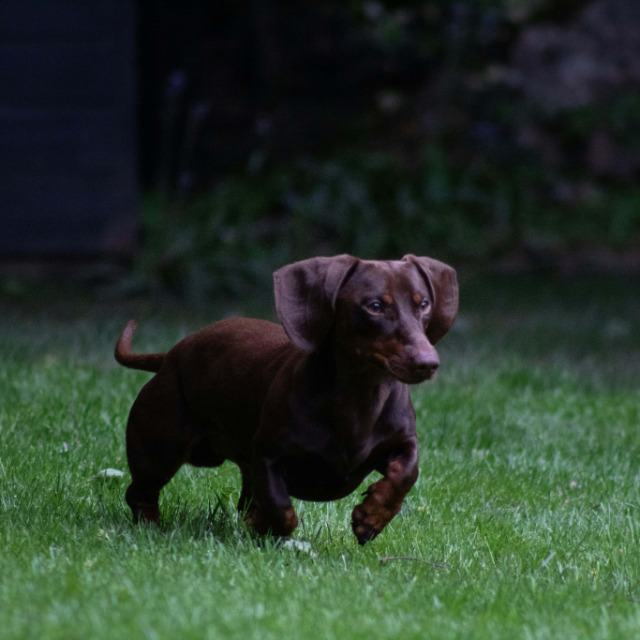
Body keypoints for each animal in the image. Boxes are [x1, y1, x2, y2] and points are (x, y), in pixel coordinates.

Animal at [114, 255, 456, 544]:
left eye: (423, 303)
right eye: (374, 305)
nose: (428, 363)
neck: (359, 398)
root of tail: (171, 355)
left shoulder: (403, 441)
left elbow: (406, 473)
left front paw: (371, 518)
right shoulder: (268, 455)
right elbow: (280, 508)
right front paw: (265, 527)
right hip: (158, 449)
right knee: (139, 493)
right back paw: (151, 528)